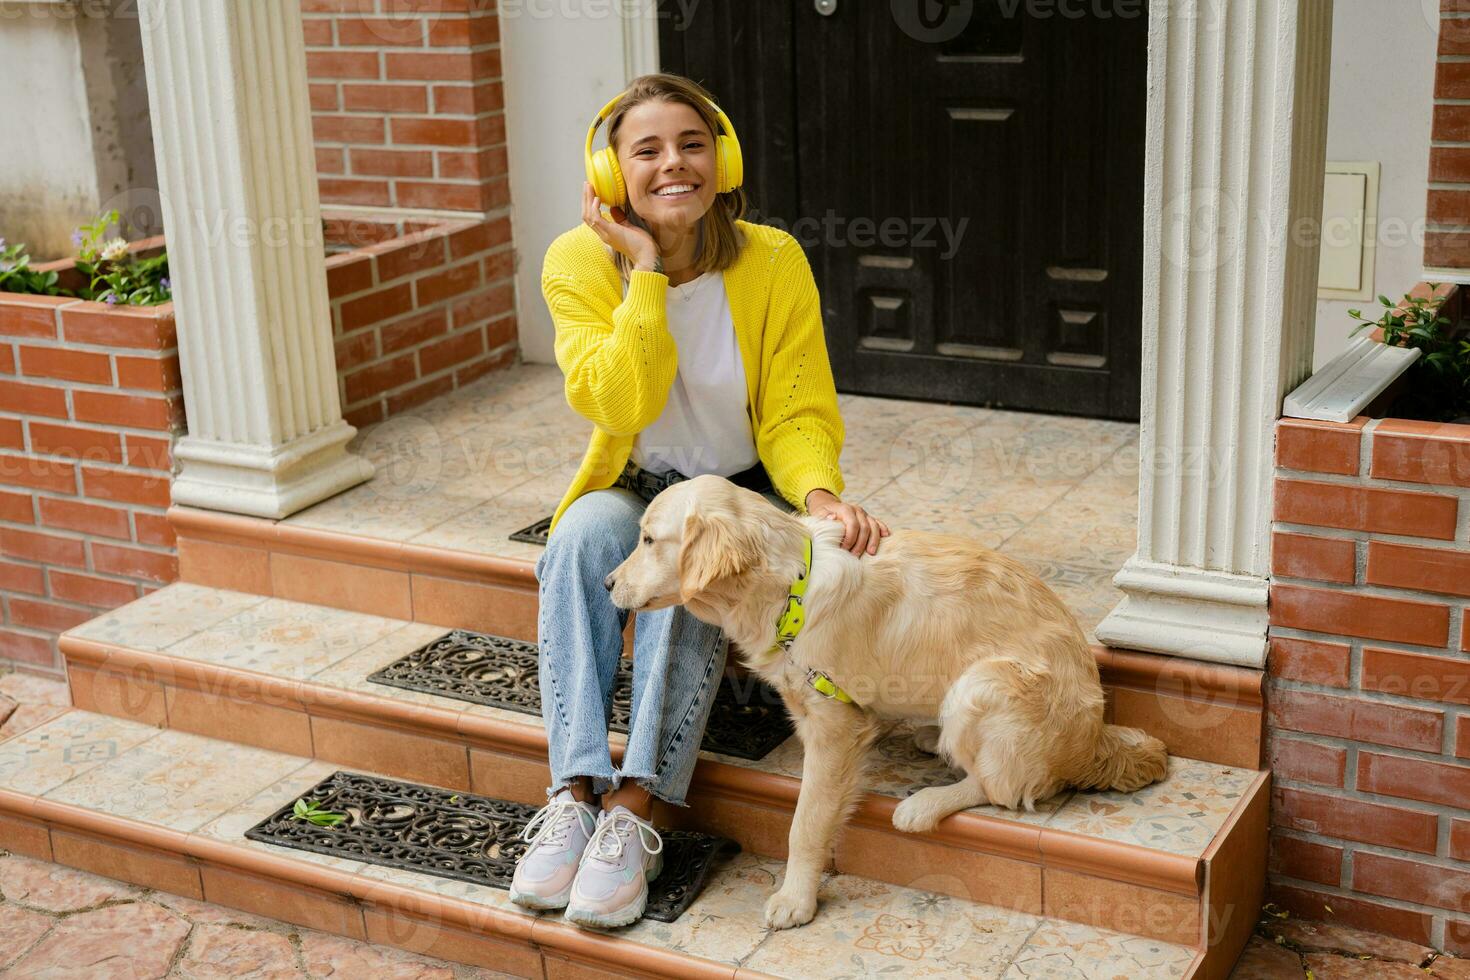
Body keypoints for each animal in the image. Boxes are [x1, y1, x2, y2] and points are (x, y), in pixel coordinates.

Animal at [602, 473, 1164, 928]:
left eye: (649, 539)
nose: (606, 583)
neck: (792, 589)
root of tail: (1094, 740)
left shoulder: (833, 726)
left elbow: (805, 823)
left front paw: (796, 899)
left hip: (980, 685)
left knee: (1003, 788)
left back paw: (924, 803)